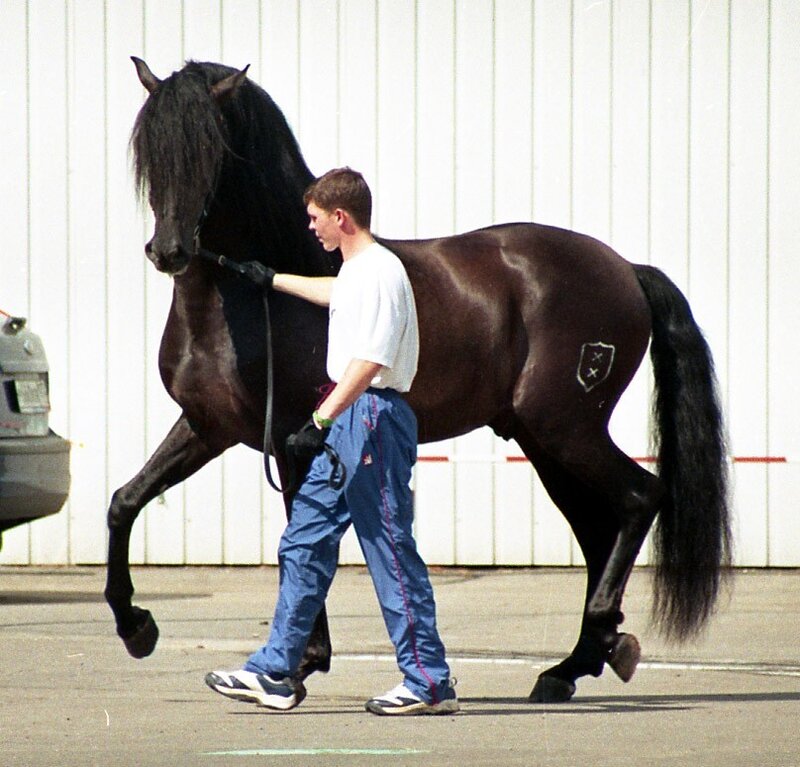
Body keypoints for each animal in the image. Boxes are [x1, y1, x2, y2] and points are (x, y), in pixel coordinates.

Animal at [104, 58, 731, 704]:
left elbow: (299, 546)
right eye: (151, 150)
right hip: (546, 442)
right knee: (599, 528)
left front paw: (296, 667)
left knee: (639, 497)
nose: (169, 251)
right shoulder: (208, 428)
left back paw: (597, 642)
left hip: (566, 430)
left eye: (212, 152)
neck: (253, 297)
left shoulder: (291, 439)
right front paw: (136, 627)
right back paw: (574, 664)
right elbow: (125, 501)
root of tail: (627, 269)